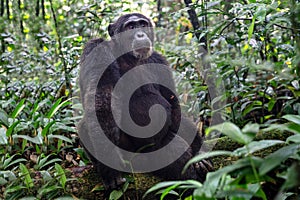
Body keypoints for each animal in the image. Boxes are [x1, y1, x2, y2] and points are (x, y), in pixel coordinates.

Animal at [78, 13, 212, 191]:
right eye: (130, 27)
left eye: (142, 24)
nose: (140, 34)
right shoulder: (97, 50)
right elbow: (102, 96)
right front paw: (109, 166)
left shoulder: (160, 60)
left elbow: (173, 103)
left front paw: (200, 153)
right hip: (132, 158)